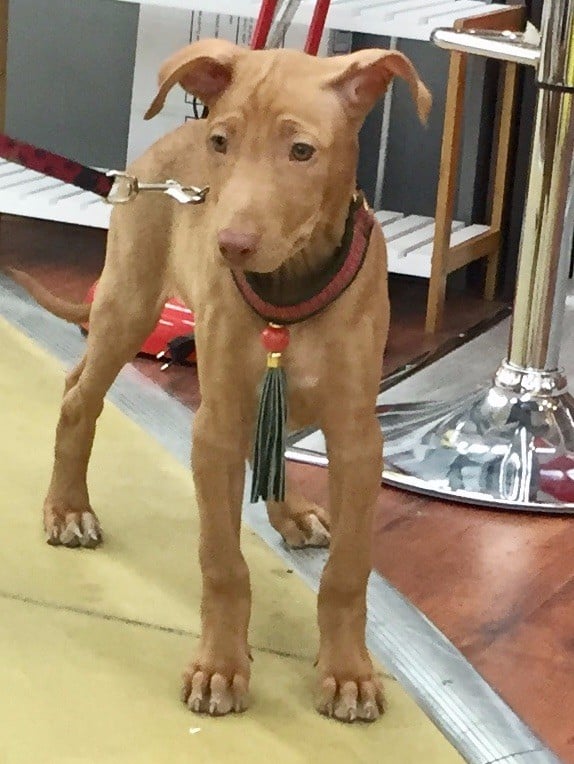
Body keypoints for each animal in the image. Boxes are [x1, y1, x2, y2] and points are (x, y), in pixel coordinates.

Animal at [10, 39, 430, 722]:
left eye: (302, 151)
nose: (229, 244)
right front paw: (220, 667)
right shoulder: (214, 430)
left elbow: (348, 571)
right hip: (129, 303)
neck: (290, 287)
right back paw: (68, 508)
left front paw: (347, 671)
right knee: (78, 395)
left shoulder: (357, 439)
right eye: (222, 143)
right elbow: (223, 562)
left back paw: (292, 515)